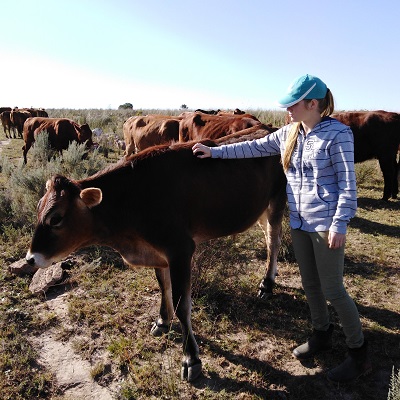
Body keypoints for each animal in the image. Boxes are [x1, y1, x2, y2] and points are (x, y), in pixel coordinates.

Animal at [25, 134, 286, 382]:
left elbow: (182, 304)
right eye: (38, 208)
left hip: (278, 201)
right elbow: (163, 287)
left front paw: (190, 359)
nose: (30, 259)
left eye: (56, 218)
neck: (133, 200)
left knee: (274, 241)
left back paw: (267, 284)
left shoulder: (180, 249)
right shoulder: (159, 253)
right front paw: (162, 321)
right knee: (268, 238)